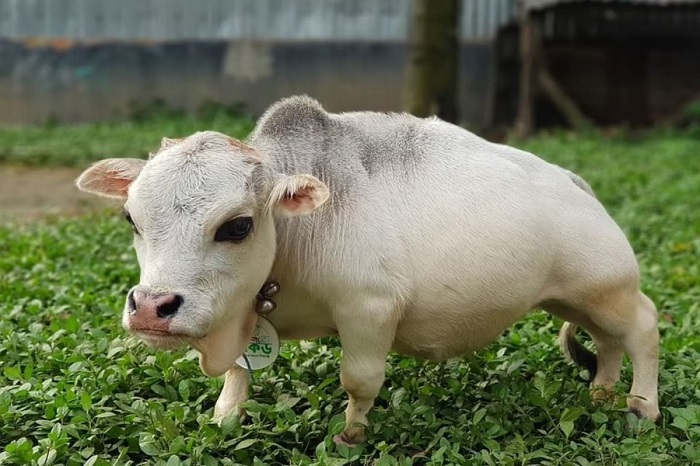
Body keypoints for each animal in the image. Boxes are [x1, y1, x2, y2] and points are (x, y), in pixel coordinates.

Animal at [76, 96, 660, 445]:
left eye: (237, 226)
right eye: (131, 218)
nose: (151, 308)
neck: (294, 238)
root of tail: (577, 185)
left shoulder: (370, 309)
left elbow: (359, 381)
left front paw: (350, 436)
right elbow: (240, 372)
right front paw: (226, 417)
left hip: (608, 290)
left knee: (643, 328)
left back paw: (643, 406)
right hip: (575, 300)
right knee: (607, 343)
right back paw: (600, 393)